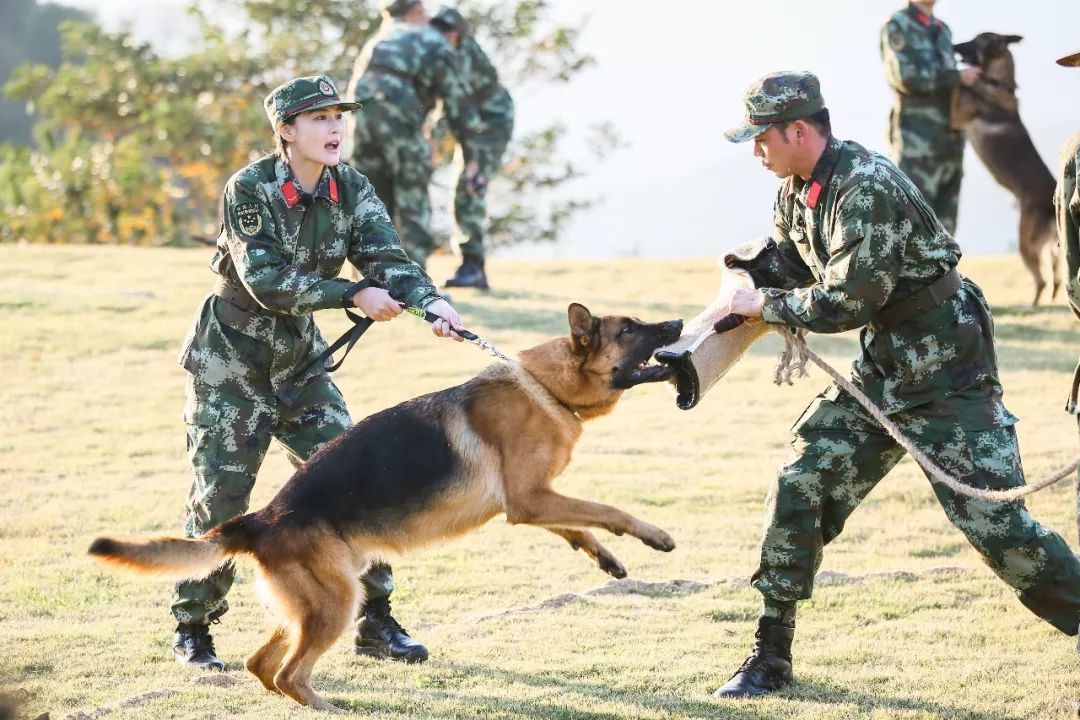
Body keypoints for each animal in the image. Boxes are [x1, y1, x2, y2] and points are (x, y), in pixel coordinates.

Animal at [90, 304, 682, 708]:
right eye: (629, 329)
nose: (677, 322)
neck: (545, 386)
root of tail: (261, 519)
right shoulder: (530, 498)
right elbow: (605, 508)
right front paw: (654, 535)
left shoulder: (531, 501)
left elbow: (578, 525)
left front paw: (606, 559)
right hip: (335, 602)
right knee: (288, 673)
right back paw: (327, 708)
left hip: (315, 601)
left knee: (262, 665)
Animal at [950, 31, 1058, 304]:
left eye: (976, 41)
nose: (954, 46)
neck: (998, 83)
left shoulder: (956, 114)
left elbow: (958, 86)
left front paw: (960, 75)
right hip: (1050, 249)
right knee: (1057, 277)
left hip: (1025, 242)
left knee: (1041, 280)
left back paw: (1032, 306)